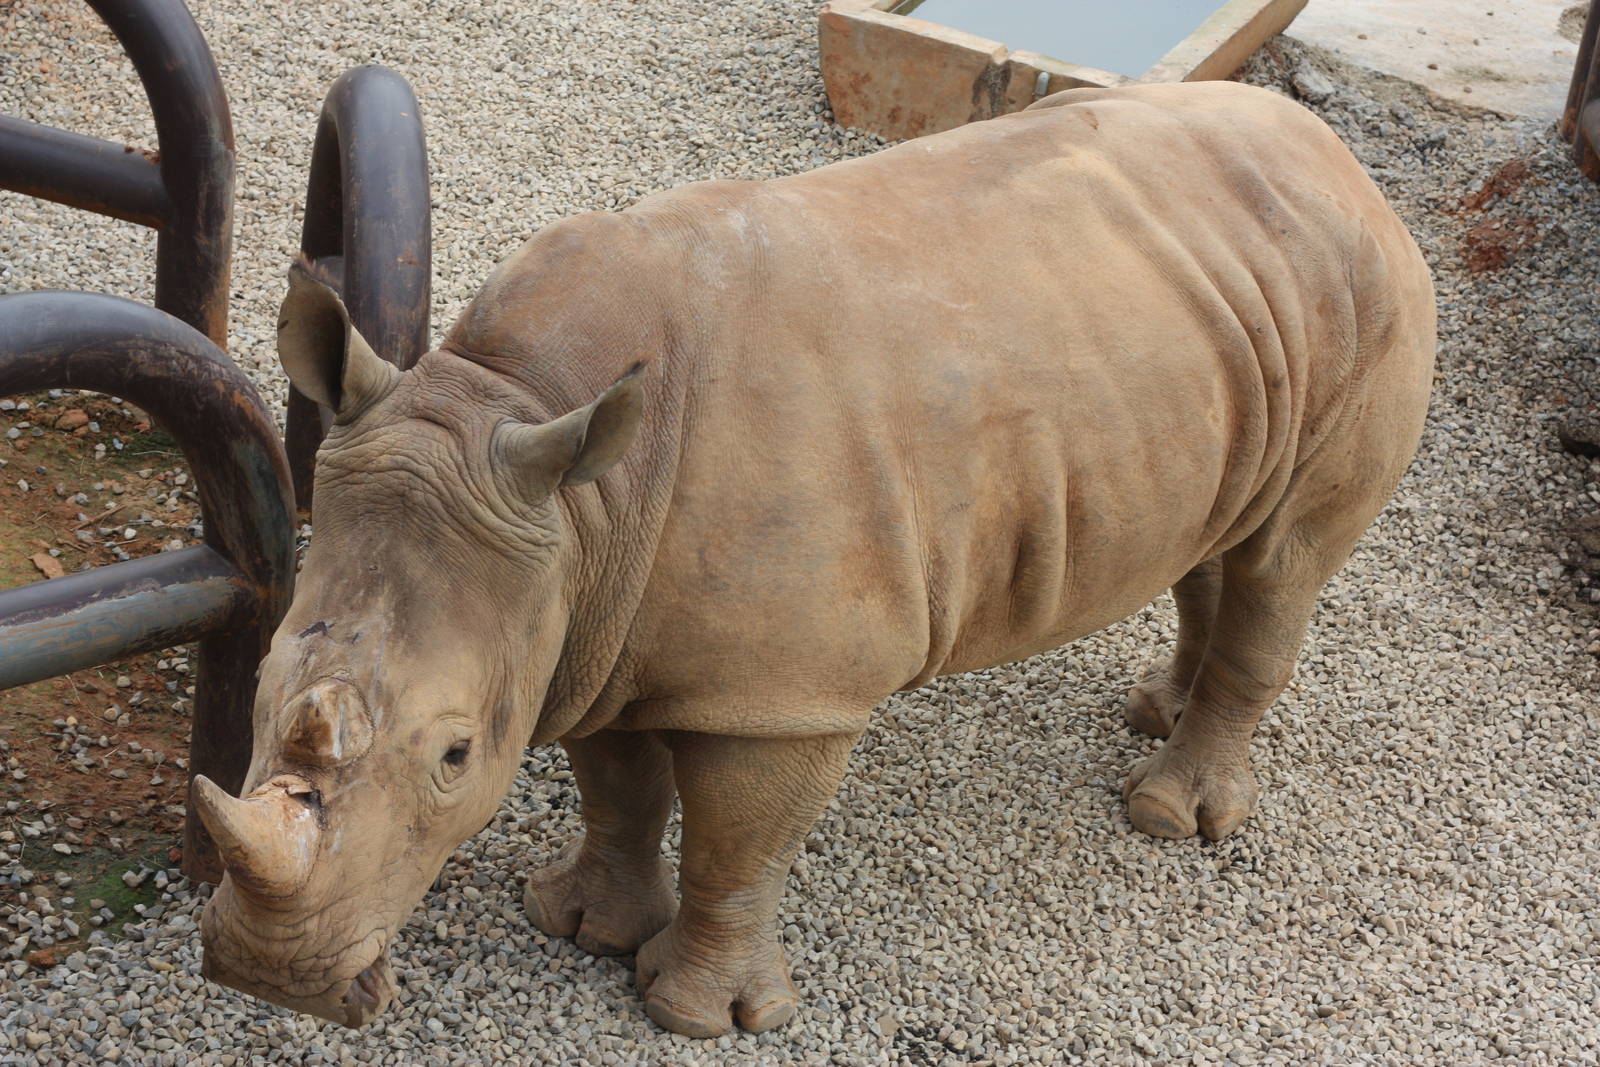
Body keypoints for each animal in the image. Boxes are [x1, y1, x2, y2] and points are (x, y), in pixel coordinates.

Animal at [192, 80, 1434, 1037]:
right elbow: (618, 785)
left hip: (1366, 298)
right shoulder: (590, 620)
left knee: (1283, 557)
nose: (268, 974)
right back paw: (1152, 708)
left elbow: (740, 838)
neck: (530, 424)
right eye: (259, 687)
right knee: (1220, 528)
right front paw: (581, 925)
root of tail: (1343, 161)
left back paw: (1171, 817)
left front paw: (697, 1015)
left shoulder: (783, 689)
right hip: (1221, 319)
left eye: (453, 754)